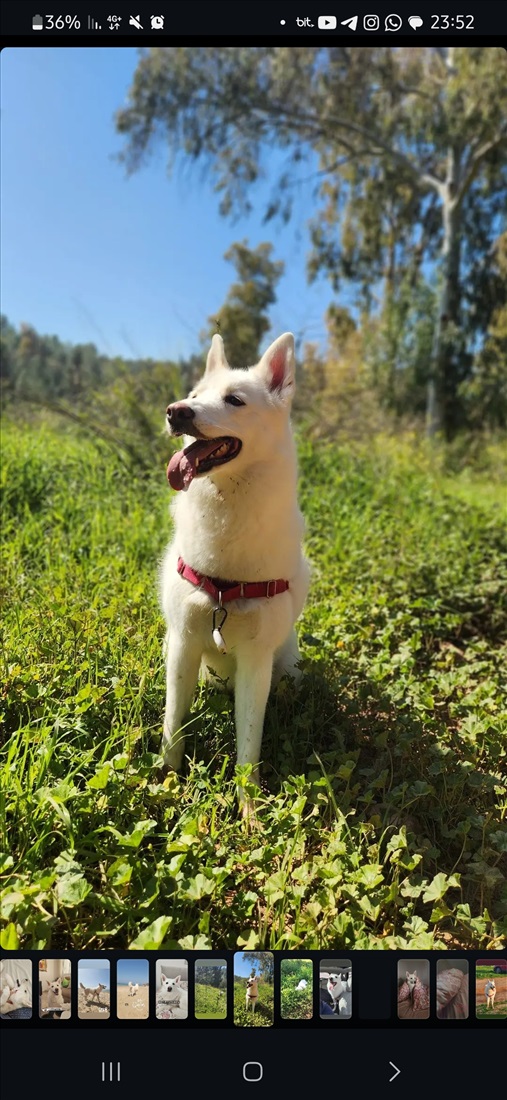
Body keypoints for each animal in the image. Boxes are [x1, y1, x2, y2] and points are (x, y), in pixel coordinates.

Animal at [160, 327, 307, 809]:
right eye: (194, 395)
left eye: (235, 400)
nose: (176, 412)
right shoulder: (183, 645)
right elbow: (172, 727)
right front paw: (167, 786)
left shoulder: (255, 666)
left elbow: (248, 747)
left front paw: (250, 812)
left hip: (286, 670)